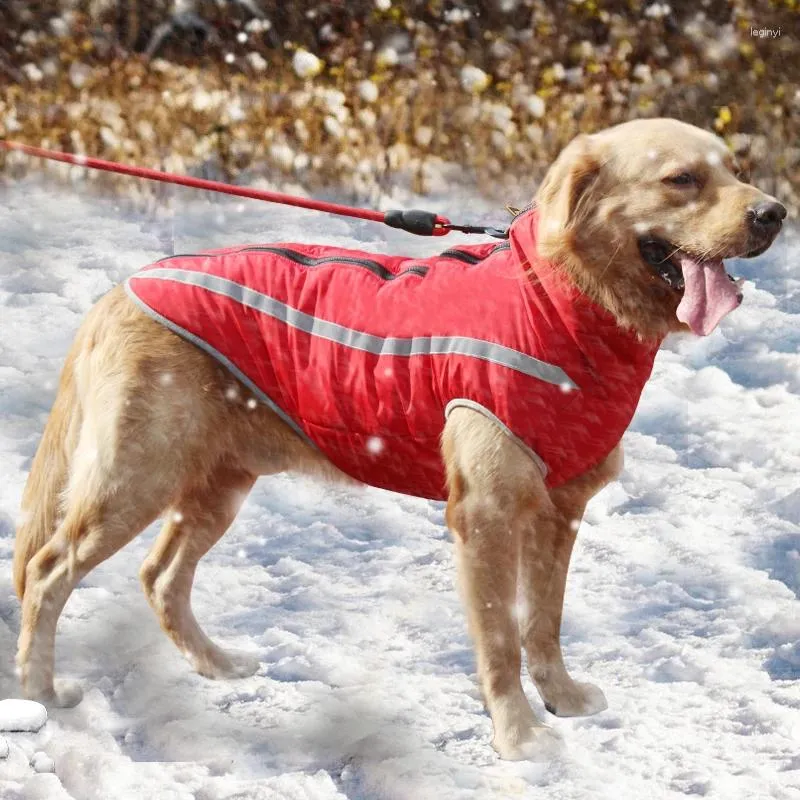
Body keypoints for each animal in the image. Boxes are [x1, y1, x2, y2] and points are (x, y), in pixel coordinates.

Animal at [14, 117, 788, 756]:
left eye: (735, 167)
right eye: (681, 179)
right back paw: (39, 692)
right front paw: (519, 736)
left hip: (219, 484)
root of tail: (119, 290)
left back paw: (217, 664)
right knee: (48, 572)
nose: (775, 213)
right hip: (132, 477)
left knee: (160, 575)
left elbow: (544, 623)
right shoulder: (486, 516)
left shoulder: (560, 514)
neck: (564, 299)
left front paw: (561, 699)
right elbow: (502, 640)